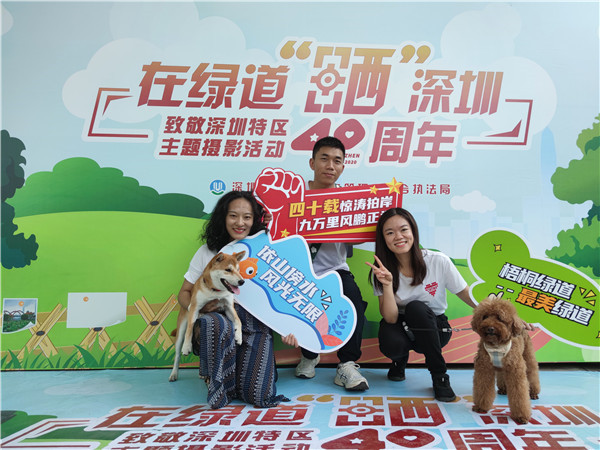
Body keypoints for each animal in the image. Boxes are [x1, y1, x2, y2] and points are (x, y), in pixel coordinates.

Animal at [169, 251, 246, 382]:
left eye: (238, 270)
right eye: (228, 270)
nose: (242, 282)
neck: (215, 292)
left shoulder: (229, 307)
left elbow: (238, 320)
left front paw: (239, 336)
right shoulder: (194, 308)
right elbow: (190, 329)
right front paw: (187, 347)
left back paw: (203, 373)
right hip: (181, 330)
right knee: (178, 354)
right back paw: (174, 373)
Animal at [471, 292, 540, 424]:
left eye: (499, 318)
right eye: (485, 317)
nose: (490, 328)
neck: (497, 346)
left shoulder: (516, 371)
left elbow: (519, 394)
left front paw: (521, 416)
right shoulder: (484, 368)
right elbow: (483, 389)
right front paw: (481, 407)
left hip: (528, 357)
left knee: (532, 373)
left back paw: (533, 393)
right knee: (502, 375)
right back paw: (503, 389)